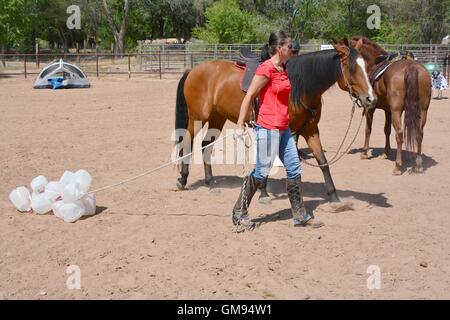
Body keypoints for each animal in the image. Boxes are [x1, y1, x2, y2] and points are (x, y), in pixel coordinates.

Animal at [175, 38, 376, 202]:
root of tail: (193, 70)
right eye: (352, 68)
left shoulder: (310, 130)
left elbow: (323, 161)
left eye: (366, 66)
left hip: (217, 117)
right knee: (187, 142)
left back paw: (210, 182)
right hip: (197, 117)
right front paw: (264, 192)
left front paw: (334, 197)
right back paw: (183, 179)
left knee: (205, 144)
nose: (370, 98)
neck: (299, 87)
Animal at [342, 37, 432, 175]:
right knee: (419, 134)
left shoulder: (371, 108)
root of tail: (411, 67)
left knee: (399, 134)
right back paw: (418, 164)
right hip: (422, 110)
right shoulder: (388, 110)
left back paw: (398, 166)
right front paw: (386, 152)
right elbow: (387, 129)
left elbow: (368, 129)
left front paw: (364, 152)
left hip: (397, 110)